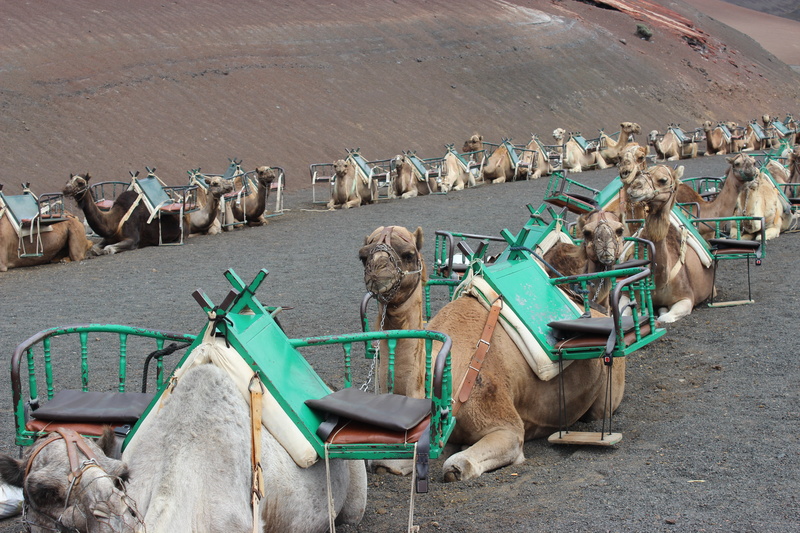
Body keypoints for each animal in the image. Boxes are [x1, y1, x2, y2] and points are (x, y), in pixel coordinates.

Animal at [359, 225, 625, 482]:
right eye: (363, 256)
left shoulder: (506, 426)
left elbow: (458, 465)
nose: (377, 272)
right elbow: (384, 464)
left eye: (408, 254)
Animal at [625, 165, 715, 323]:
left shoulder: (686, 297)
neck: (660, 280)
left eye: (663, 180)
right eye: (639, 174)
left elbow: (664, 318)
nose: (634, 188)